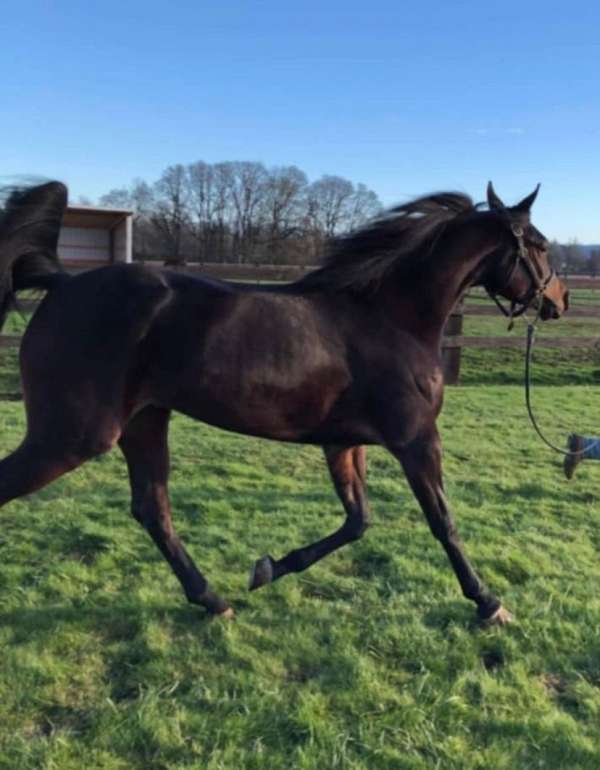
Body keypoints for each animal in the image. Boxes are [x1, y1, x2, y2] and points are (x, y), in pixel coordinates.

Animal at [0, 182, 568, 624]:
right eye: (540, 245)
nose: (558, 301)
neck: (391, 318)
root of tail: (63, 283)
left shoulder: (344, 443)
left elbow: (357, 521)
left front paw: (268, 568)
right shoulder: (416, 440)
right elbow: (442, 521)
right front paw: (489, 603)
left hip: (145, 423)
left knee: (152, 509)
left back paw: (213, 600)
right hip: (74, 436)